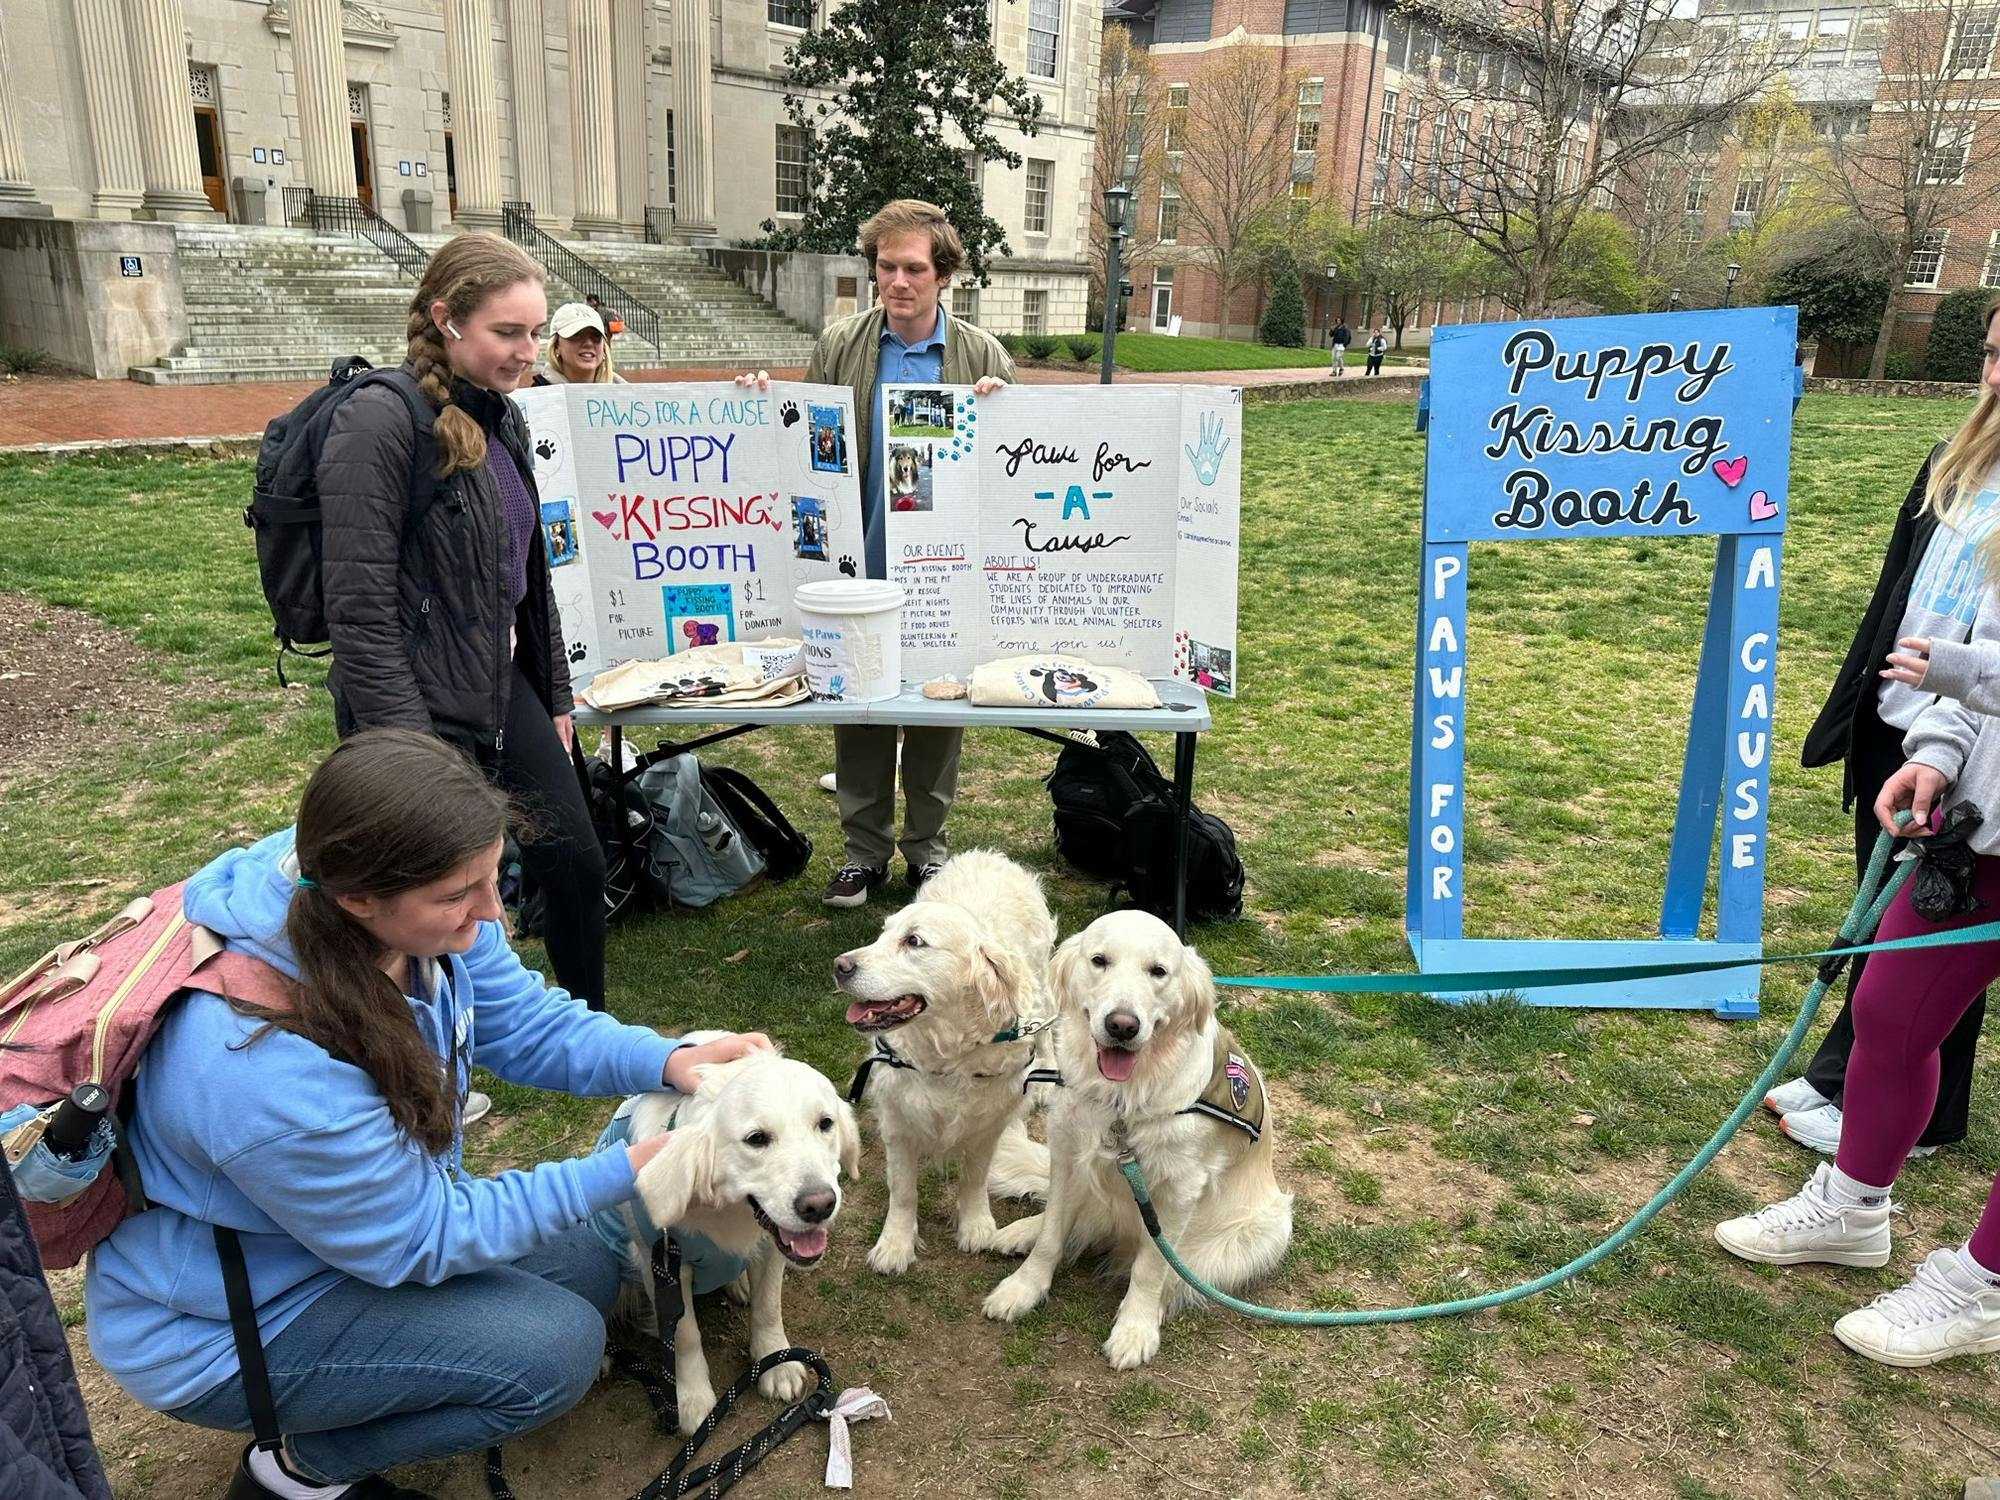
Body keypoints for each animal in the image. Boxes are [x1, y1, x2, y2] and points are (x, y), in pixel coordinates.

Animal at [608, 1040, 860, 1440]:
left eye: (825, 1123)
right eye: (756, 1139)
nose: (819, 1205)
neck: (728, 1210)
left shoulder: (772, 1249)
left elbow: (768, 1308)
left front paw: (776, 1364)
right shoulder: (662, 1265)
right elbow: (684, 1335)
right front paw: (692, 1400)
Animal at [828, 852, 1056, 1272]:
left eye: (914, 941)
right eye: (882, 934)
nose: (840, 965)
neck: (949, 1055)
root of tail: (989, 853)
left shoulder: (989, 1124)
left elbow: (975, 1178)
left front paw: (976, 1225)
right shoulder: (899, 1123)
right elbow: (903, 1190)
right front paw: (895, 1244)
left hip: (1041, 978)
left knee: (1048, 1023)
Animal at [984, 912, 1296, 1368]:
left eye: (1158, 971)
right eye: (1099, 961)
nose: (1122, 1025)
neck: (1123, 1099)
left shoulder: (1178, 1190)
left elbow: (1150, 1269)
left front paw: (1135, 1329)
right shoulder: (1068, 1153)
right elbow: (1052, 1235)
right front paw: (1023, 1288)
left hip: (1266, 1230)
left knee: (1177, 1276)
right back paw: (1020, 1232)